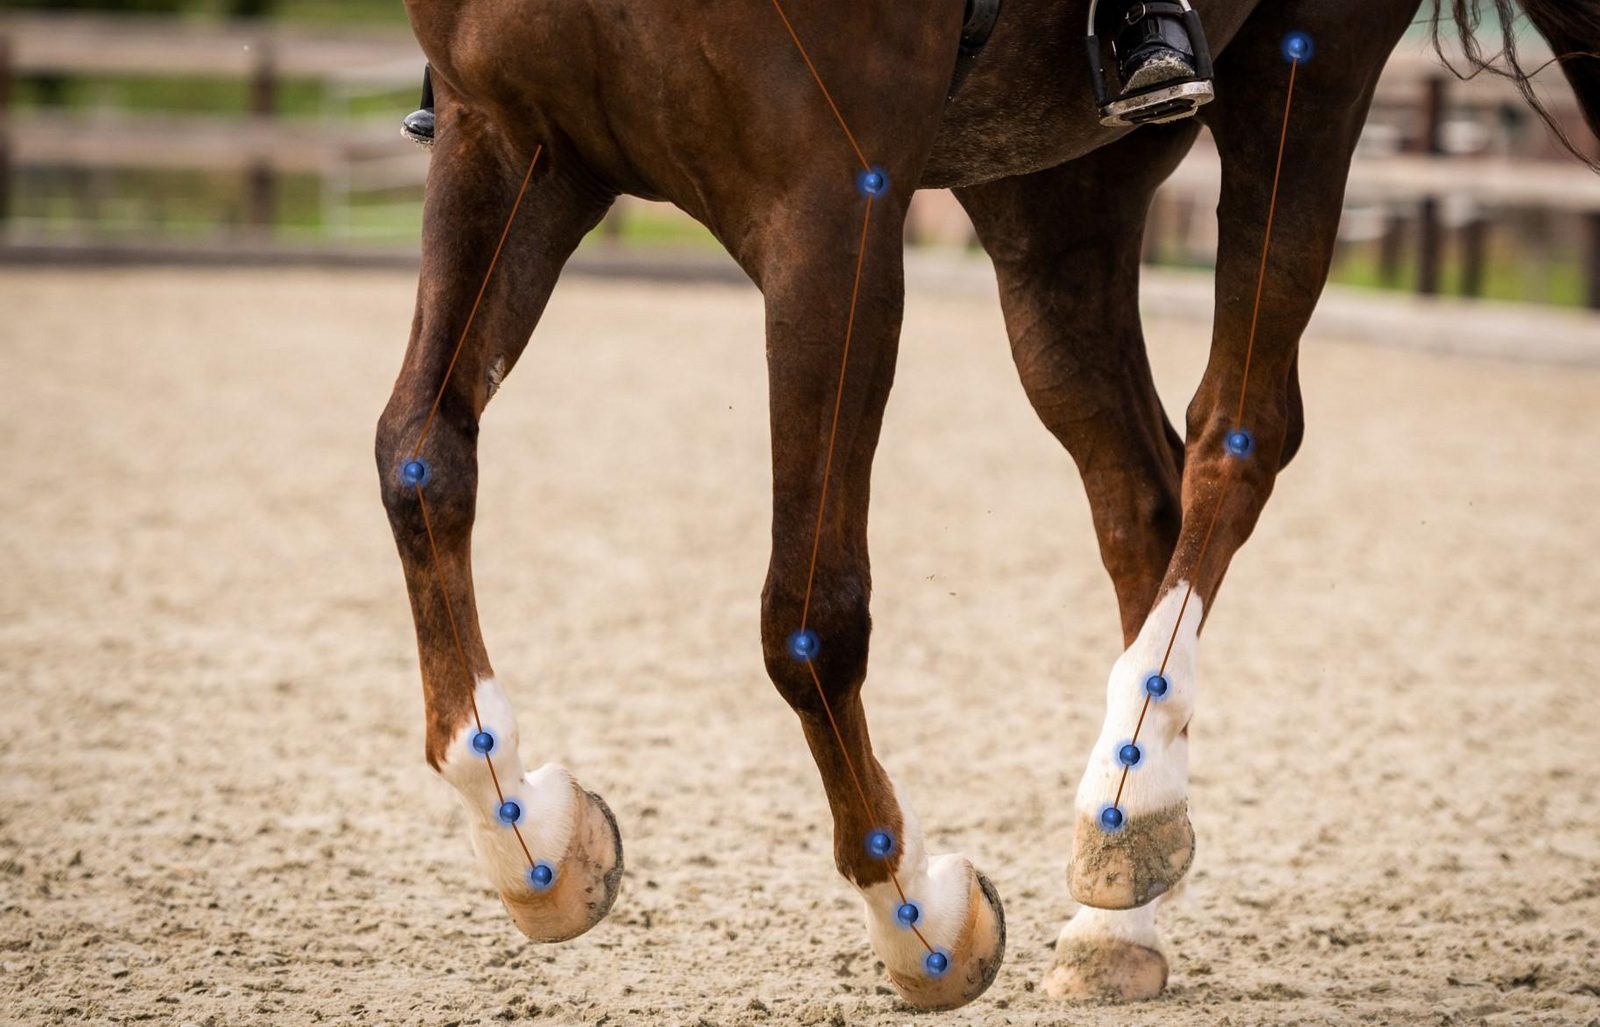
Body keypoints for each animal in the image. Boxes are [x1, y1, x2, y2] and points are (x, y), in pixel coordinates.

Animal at [377, 0, 1600, 1011]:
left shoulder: (831, 199)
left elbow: (808, 615)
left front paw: (919, 923)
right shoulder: (507, 139)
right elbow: (419, 463)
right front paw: (530, 836)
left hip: (1310, 62)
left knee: (1235, 435)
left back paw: (1129, 805)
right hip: (1049, 185)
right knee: (1140, 493)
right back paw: (1121, 894)